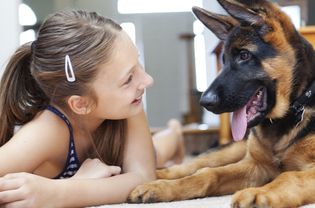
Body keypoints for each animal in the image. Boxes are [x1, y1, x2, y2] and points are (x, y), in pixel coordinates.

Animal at [128, 0, 315, 208]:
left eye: (244, 55)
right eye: (223, 60)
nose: (205, 102)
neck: (292, 111)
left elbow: (290, 176)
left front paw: (259, 193)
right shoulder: (255, 165)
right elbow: (209, 173)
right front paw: (163, 187)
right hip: (232, 150)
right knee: (196, 164)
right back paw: (155, 177)